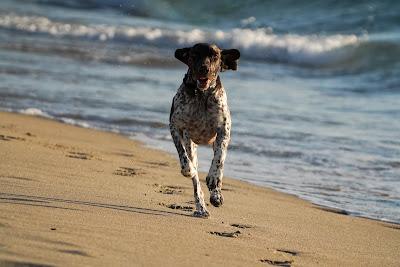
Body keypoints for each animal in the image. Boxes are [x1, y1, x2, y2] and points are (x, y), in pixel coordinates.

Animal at [170, 42, 241, 218]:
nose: (204, 68)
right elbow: (183, 155)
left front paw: (214, 180)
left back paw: (216, 194)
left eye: (215, 56)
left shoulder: (224, 130)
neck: (202, 95)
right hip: (191, 145)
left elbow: (219, 158)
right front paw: (188, 169)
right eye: (194, 54)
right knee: (196, 181)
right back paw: (201, 207)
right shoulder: (175, 126)